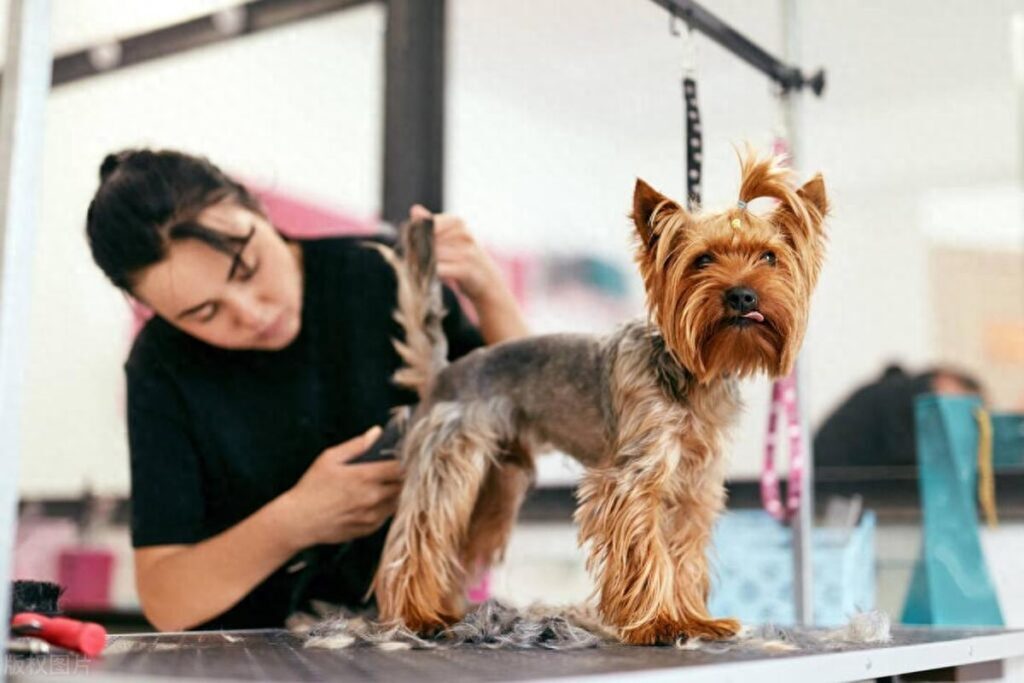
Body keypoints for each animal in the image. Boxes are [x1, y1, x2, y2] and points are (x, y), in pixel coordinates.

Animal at [368, 150, 823, 647]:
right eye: (702, 260)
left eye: (770, 258)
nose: (743, 295)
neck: (693, 371)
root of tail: (445, 372)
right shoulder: (632, 479)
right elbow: (646, 549)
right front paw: (658, 623)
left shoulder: (695, 486)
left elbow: (683, 554)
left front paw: (693, 619)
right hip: (450, 464)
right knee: (419, 536)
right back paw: (415, 615)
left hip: (495, 485)